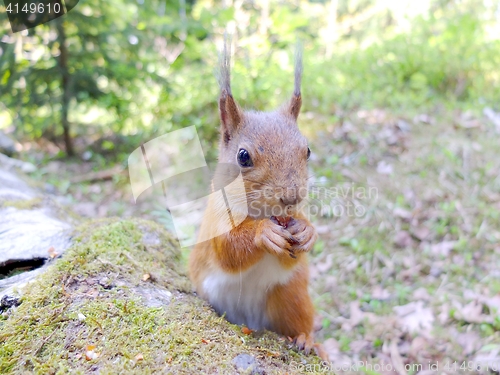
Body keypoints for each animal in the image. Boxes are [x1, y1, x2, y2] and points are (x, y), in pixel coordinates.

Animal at [189, 39, 326, 362]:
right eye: (243, 156)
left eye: (307, 150)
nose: (291, 197)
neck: (261, 213)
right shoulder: (215, 219)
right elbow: (228, 249)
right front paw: (263, 234)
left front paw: (307, 231)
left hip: (291, 296)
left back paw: (307, 340)